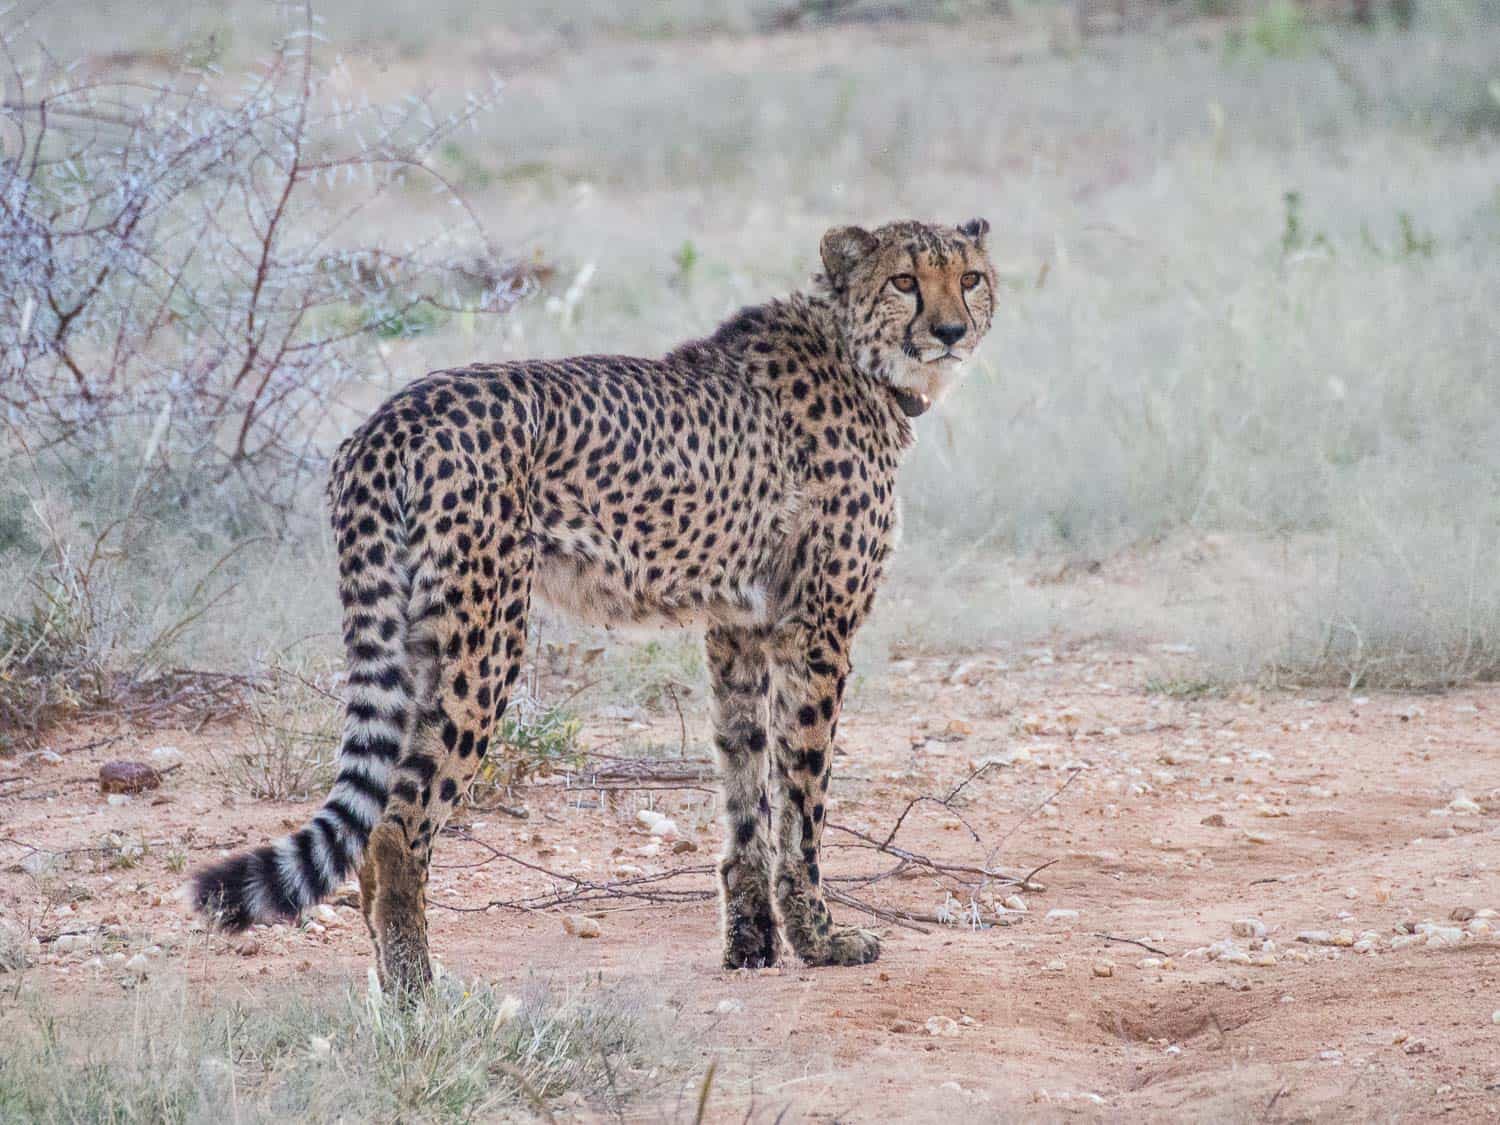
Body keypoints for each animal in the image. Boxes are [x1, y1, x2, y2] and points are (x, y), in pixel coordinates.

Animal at [193, 216, 1002, 990]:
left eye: (969, 278)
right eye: (903, 280)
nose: (950, 331)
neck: (857, 355)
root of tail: (390, 420)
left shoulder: (739, 627)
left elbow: (746, 785)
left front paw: (752, 943)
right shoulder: (816, 629)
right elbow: (801, 798)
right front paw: (821, 939)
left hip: (414, 636)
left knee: (371, 817)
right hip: (484, 638)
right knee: (395, 827)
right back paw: (418, 993)